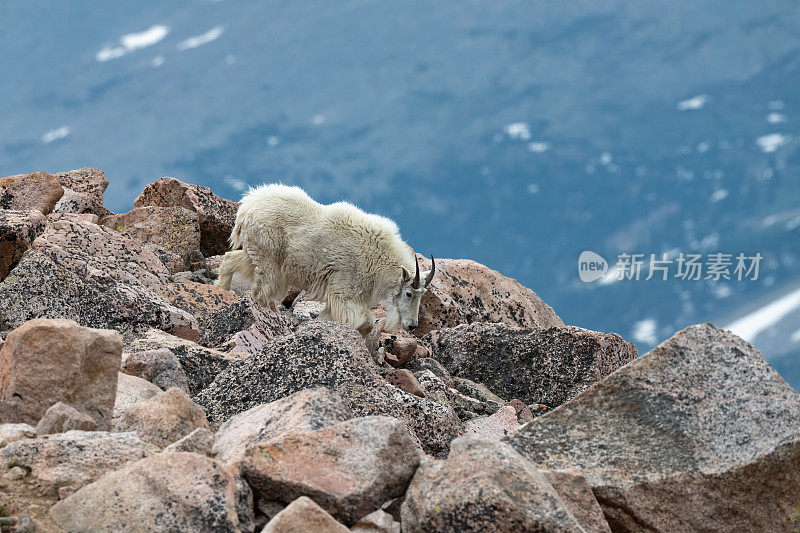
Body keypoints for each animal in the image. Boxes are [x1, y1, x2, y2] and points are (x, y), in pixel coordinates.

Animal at [216, 183, 434, 332]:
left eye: (422, 295)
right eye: (409, 294)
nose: (412, 326)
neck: (376, 256)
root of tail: (245, 208)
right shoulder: (343, 290)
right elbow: (366, 323)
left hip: (255, 252)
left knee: (229, 259)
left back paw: (222, 290)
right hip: (268, 259)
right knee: (260, 291)